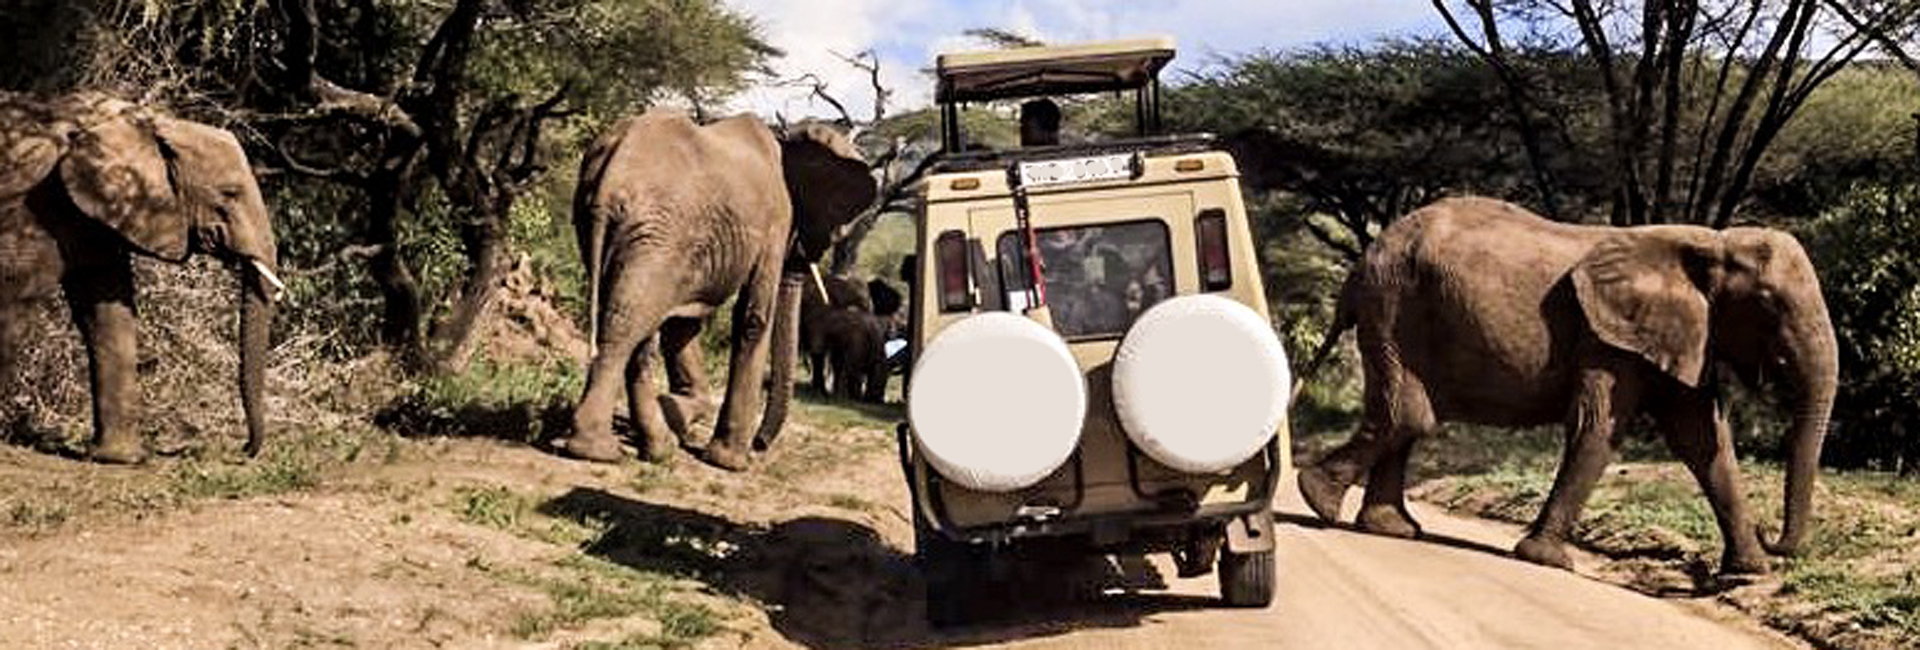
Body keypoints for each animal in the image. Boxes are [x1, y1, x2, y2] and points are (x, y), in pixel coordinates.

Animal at [0, 92, 282, 464]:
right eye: (230, 193)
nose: (243, 449)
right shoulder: (32, 208)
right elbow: (13, 299)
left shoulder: (93, 216)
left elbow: (106, 312)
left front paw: (117, 458)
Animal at [556, 112, 879, 467]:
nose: (760, 445)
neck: (786, 140)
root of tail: (615, 163)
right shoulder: (775, 222)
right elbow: (753, 318)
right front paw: (728, 462)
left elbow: (683, 322)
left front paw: (674, 409)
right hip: (657, 235)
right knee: (628, 323)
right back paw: (597, 451)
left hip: (625, 228)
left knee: (635, 321)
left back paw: (657, 448)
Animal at [1297, 196, 1835, 579]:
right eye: (1768, 303)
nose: (1772, 535)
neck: (1711, 244)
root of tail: (1361, 262)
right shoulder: (1608, 337)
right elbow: (1598, 430)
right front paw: (1547, 561)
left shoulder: (1685, 333)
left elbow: (1703, 439)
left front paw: (1750, 573)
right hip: (1394, 308)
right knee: (1409, 413)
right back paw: (1316, 499)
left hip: (1397, 307)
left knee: (1409, 417)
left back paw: (1389, 528)